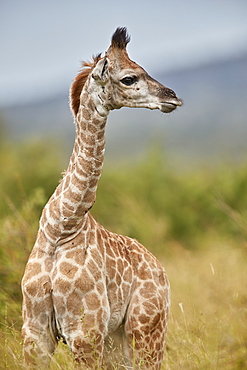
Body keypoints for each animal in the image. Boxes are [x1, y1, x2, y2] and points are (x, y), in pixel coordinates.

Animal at [21, 27, 181, 368]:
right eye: (129, 78)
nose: (171, 97)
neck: (62, 225)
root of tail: (160, 268)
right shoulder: (35, 333)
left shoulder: (85, 332)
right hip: (117, 340)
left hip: (145, 329)